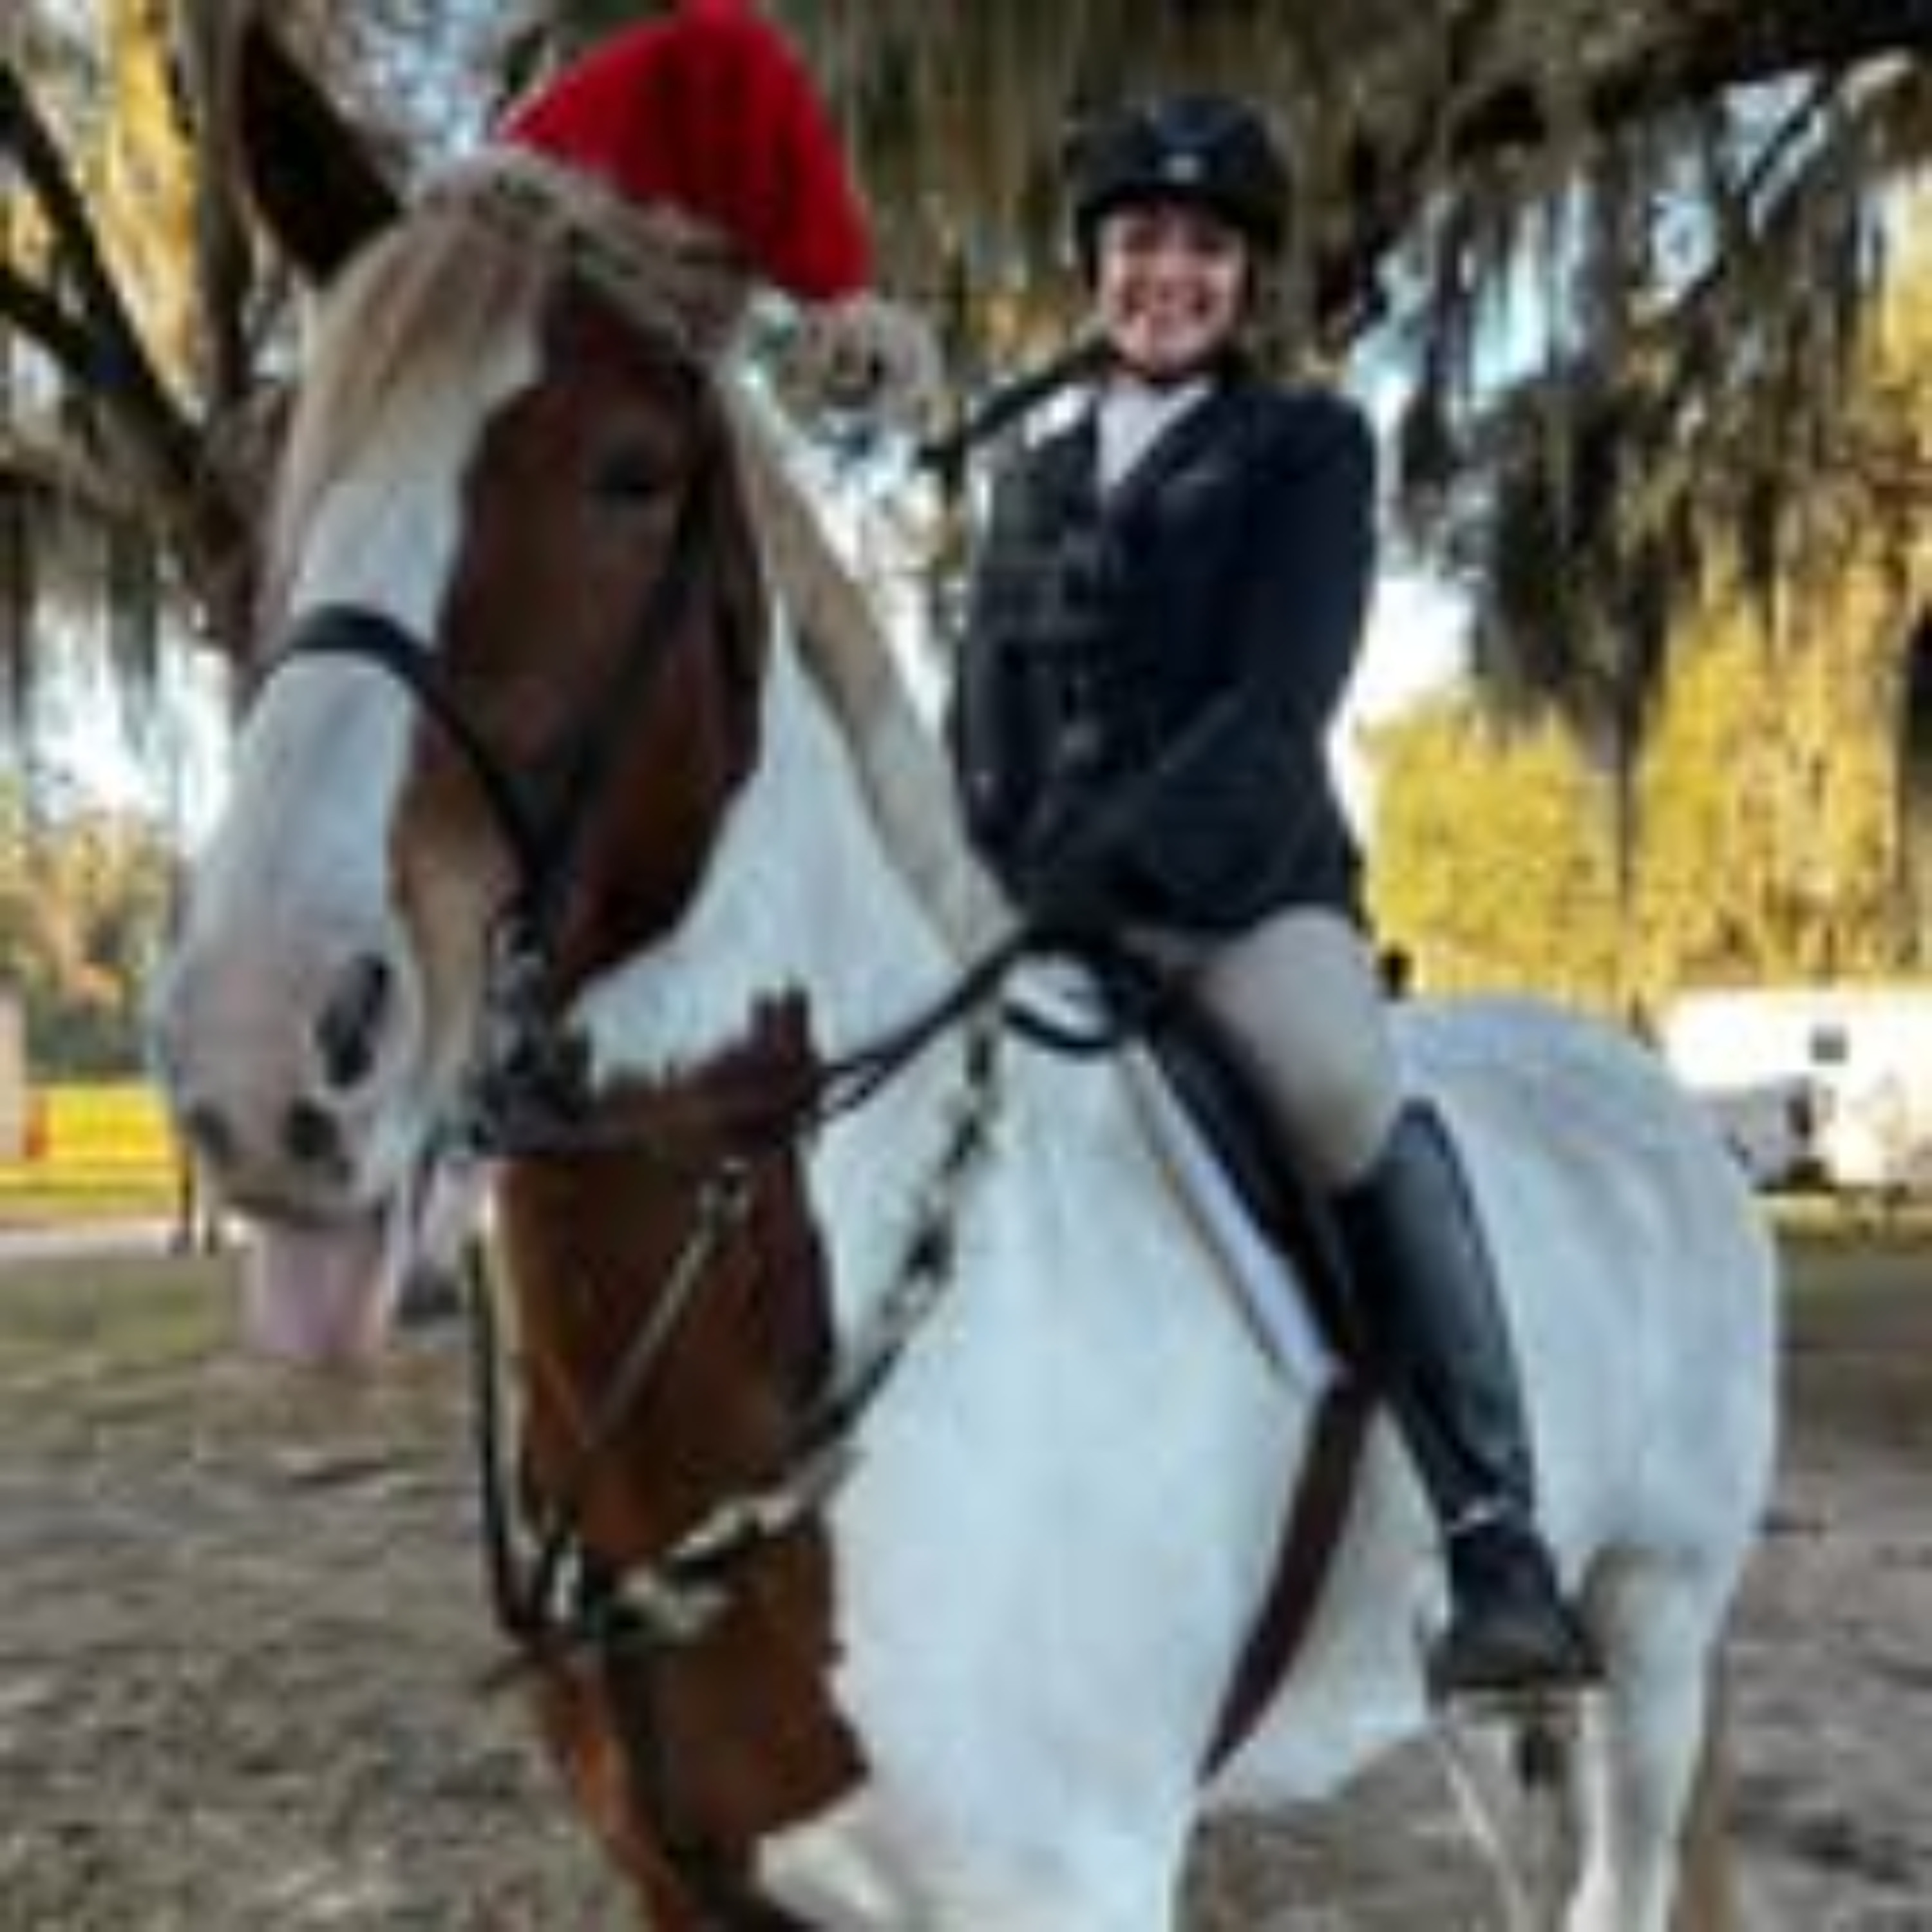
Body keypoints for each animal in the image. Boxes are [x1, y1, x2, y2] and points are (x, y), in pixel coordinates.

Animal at [150, 37, 1778, 1932]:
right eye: (284, 466)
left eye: (630, 471)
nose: (264, 1049)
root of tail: (1648, 1093)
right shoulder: (687, 1883)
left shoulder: (1066, 1882)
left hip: (1653, 1634)